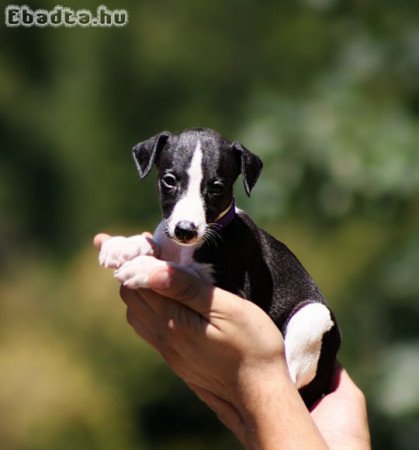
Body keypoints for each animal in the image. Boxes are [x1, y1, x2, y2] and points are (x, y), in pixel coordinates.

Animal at [101, 127, 342, 408]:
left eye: (217, 187)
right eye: (169, 180)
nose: (185, 230)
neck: (190, 247)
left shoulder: (236, 293)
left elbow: (186, 270)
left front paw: (142, 267)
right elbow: (157, 242)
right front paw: (124, 245)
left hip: (313, 317)